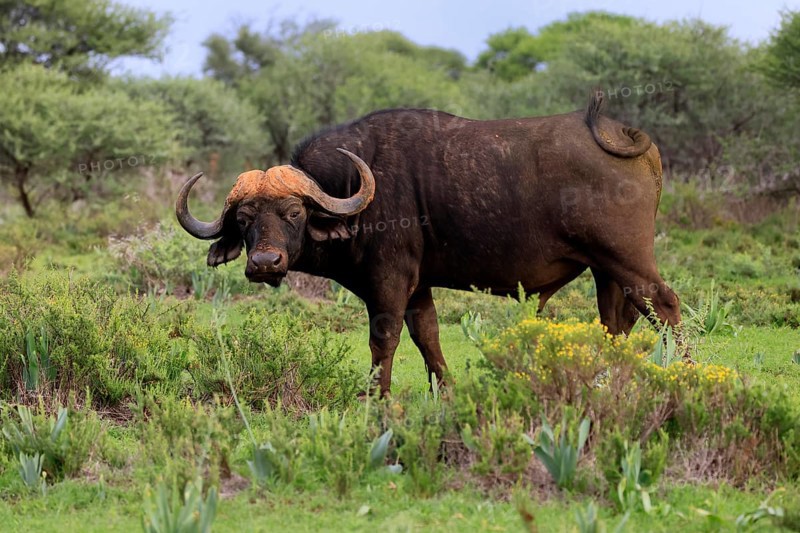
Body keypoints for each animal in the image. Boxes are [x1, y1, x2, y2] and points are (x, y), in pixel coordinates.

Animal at [176, 94, 680, 396]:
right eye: (244, 221)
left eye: (294, 213)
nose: (265, 262)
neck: (354, 190)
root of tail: (623, 135)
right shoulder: (418, 288)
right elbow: (428, 338)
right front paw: (447, 394)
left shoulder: (389, 283)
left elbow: (383, 341)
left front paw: (377, 400)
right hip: (605, 270)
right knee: (617, 322)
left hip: (627, 259)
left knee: (665, 305)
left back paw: (681, 368)